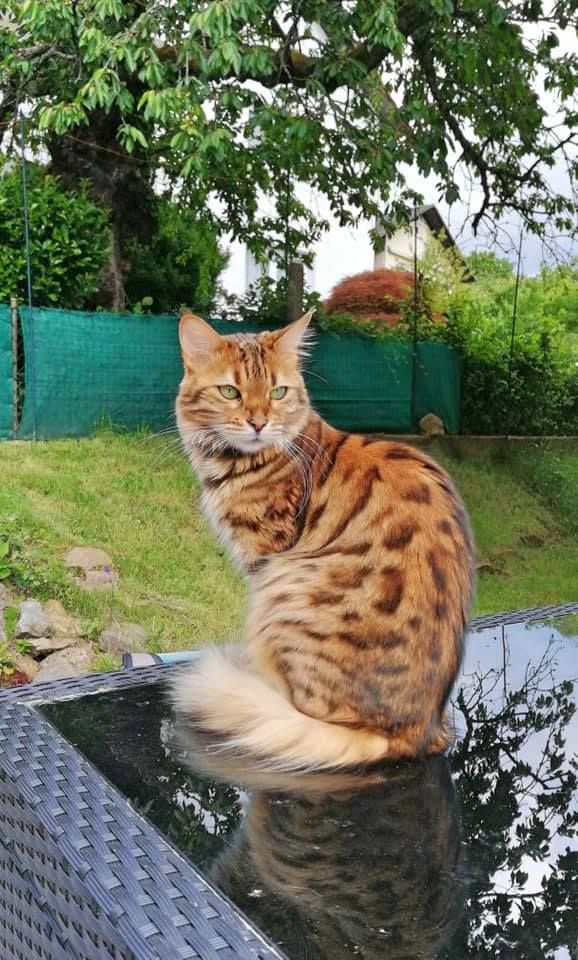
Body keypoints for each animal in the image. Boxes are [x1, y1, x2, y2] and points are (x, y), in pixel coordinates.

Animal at [170, 312, 472, 768]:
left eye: (277, 393)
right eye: (230, 392)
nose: (258, 422)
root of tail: (412, 734)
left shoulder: (264, 556)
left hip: (283, 590)